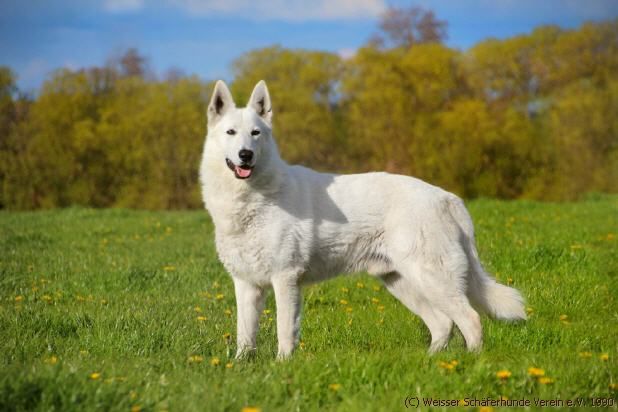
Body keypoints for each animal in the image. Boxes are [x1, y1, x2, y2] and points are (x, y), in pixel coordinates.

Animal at [199, 79, 524, 358]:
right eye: (231, 133)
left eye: (255, 133)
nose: (245, 155)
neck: (253, 197)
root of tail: (449, 199)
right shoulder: (245, 284)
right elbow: (245, 334)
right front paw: (240, 366)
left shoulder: (285, 278)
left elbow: (284, 331)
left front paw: (282, 365)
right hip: (401, 282)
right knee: (443, 323)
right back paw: (431, 362)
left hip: (432, 279)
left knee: (470, 319)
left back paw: (469, 365)